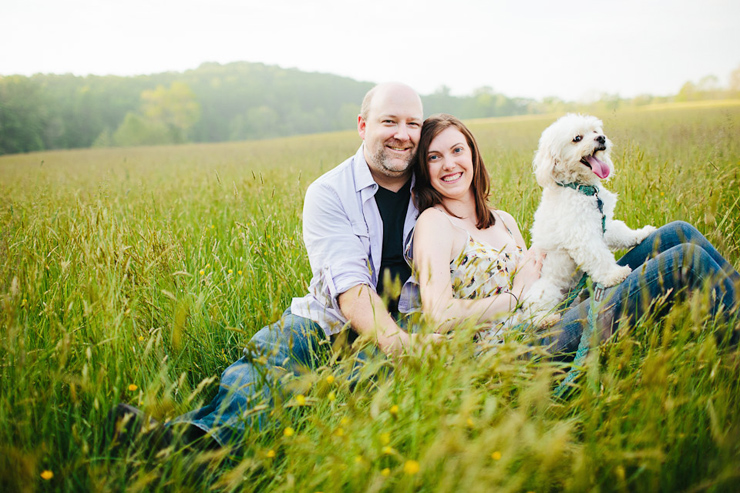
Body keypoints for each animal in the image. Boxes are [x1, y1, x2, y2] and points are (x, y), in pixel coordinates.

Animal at [524, 113, 656, 324]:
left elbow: (622, 232)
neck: (579, 188)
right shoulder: (582, 236)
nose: (601, 138)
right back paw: (545, 319)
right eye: (577, 138)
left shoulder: (602, 224)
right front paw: (614, 275)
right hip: (545, 290)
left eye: (595, 131)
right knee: (529, 317)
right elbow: (599, 256)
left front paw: (641, 233)